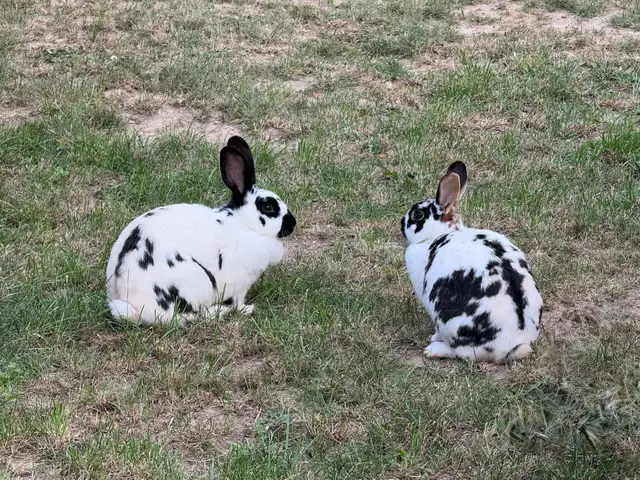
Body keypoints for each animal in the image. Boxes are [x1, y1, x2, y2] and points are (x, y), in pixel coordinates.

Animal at [105, 136, 296, 325]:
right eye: (268, 207)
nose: (292, 224)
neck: (244, 223)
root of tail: (139, 309)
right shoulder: (239, 284)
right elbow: (238, 302)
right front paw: (248, 309)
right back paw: (218, 311)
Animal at [401, 161, 542, 363]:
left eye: (418, 215)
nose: (401, 224)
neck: (438, 234)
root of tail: (513, 345)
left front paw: (433, 337)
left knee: (462, 353)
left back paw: (433, 349)